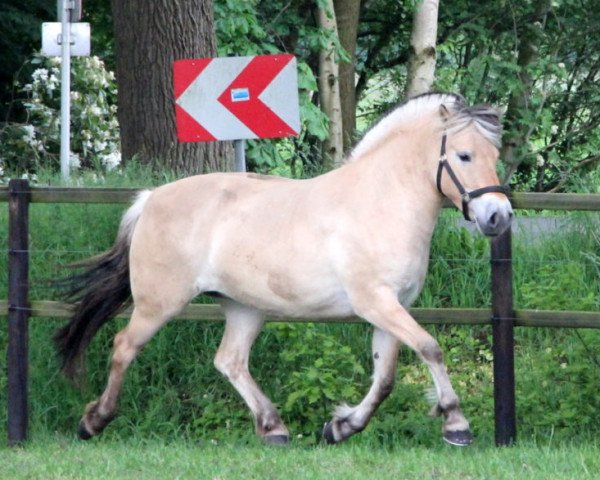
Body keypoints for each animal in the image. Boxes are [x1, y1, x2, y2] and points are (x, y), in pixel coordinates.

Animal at [56, 92, 510, 444]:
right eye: (464, 155)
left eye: (495, 155)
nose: (498, 216)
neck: (379, 202)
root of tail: (150, 199)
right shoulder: (376, 302)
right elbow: (430, 348)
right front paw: (456, 424)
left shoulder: (391, 308)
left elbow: (385, 379)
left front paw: (340, 427)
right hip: (158, 304)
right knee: (123, 347)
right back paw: (92, 422)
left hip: (244, 308)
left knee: (230, 361)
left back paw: (273, 427)